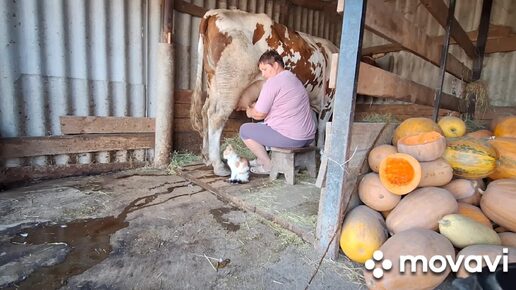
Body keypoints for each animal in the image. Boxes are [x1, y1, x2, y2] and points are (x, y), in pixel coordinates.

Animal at [189, 9, 338, 177]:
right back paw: (218, 165)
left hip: (214, 82)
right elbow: (323, 125)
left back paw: (206, 157)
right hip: (231, 82)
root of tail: (215, 12)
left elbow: (314, 124)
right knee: (217, 116)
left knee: (205, 112)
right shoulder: (330, 98)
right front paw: (321, 151)